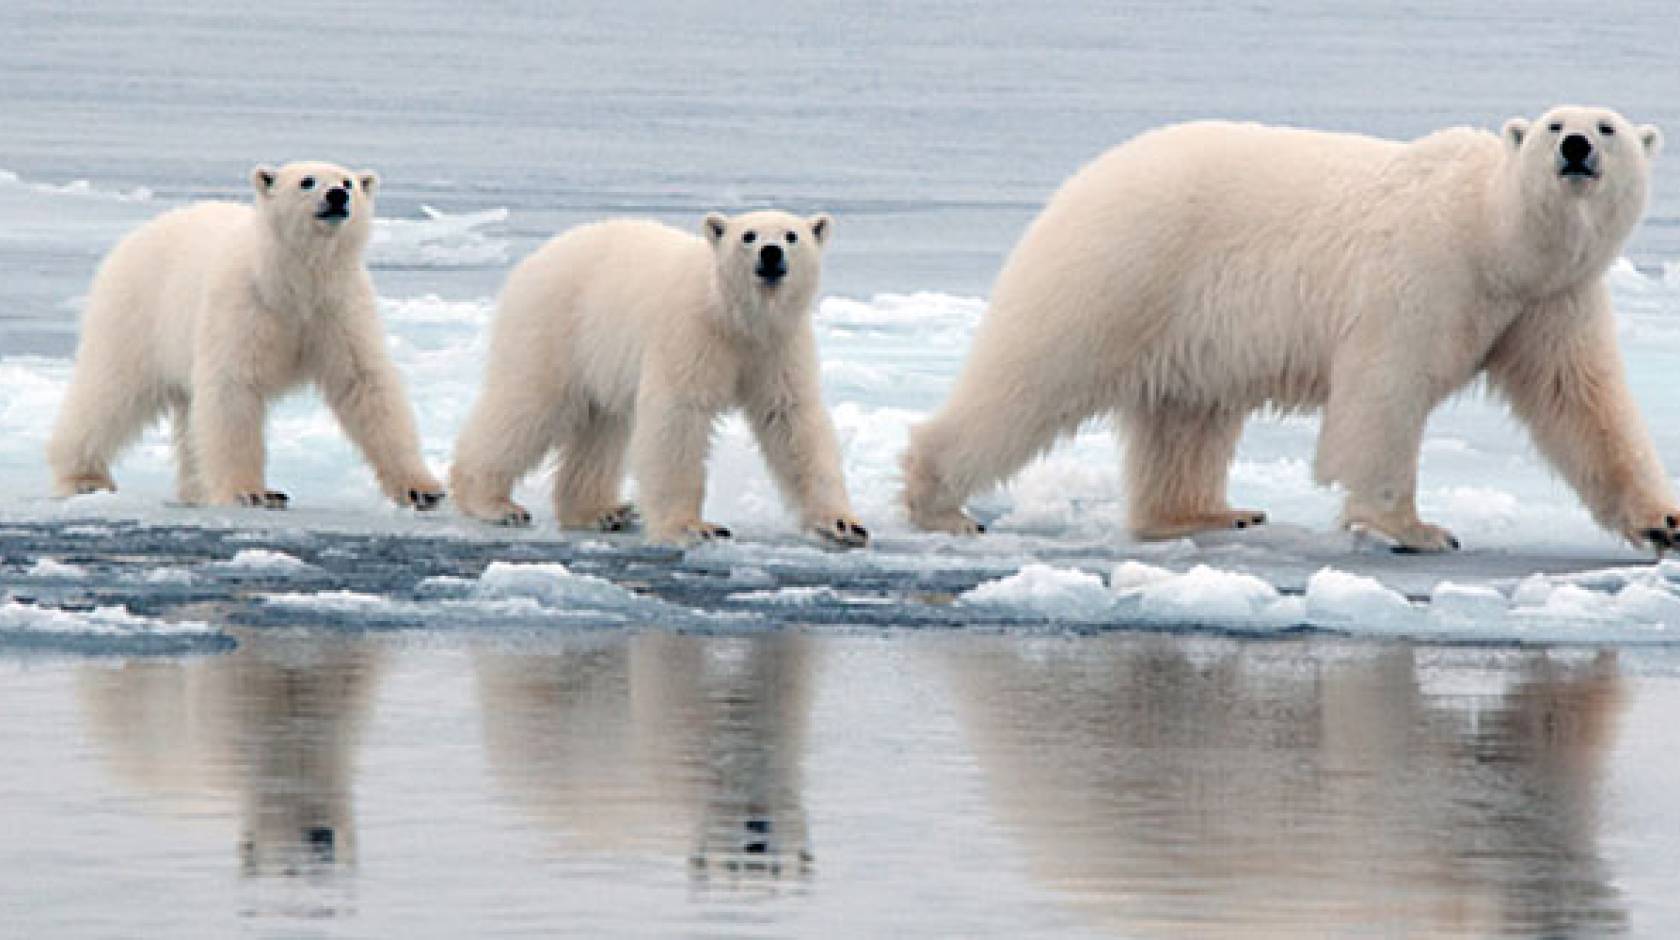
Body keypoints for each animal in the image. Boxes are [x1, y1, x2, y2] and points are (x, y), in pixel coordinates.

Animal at [49, 165, 446, 510]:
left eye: (347, 181)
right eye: (307, 180)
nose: (336, 195)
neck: (291, 283)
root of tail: (133, 237)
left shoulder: (338, 309)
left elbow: (366, 384)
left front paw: (423, 489)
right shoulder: (244, 306)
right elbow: (233, 389)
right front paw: (252, 493)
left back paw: (196, 489)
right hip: (137, 317)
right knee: (111, 393)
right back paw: (84, 477)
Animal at [446, 208, 866, 547]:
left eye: (791, 235)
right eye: (748, 235)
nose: (771, 253)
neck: (736, 318)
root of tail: (533, 259)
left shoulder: (777, 347)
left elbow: (791, 419)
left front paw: (844, 525)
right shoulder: (691, 333)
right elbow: (678, 417)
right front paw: (695, 527)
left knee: (602, 427)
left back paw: (602, 512)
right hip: (555, 326)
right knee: (528, 405)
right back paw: (494, 503)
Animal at [913, 107, 1673, 553]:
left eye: (1607, 126)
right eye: (1552, 124)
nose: (1574, 146)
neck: (1491, 234)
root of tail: (1082, 180)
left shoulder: (1550, 301)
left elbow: (1581, 403)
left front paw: (1662, 522)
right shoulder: (1422, 274)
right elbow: (1384, 394)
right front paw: (1415, 528)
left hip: (1186, 323)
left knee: (1187, 421)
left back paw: (1209, 513)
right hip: (1120, 271)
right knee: (1031, 379)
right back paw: (939, 501)